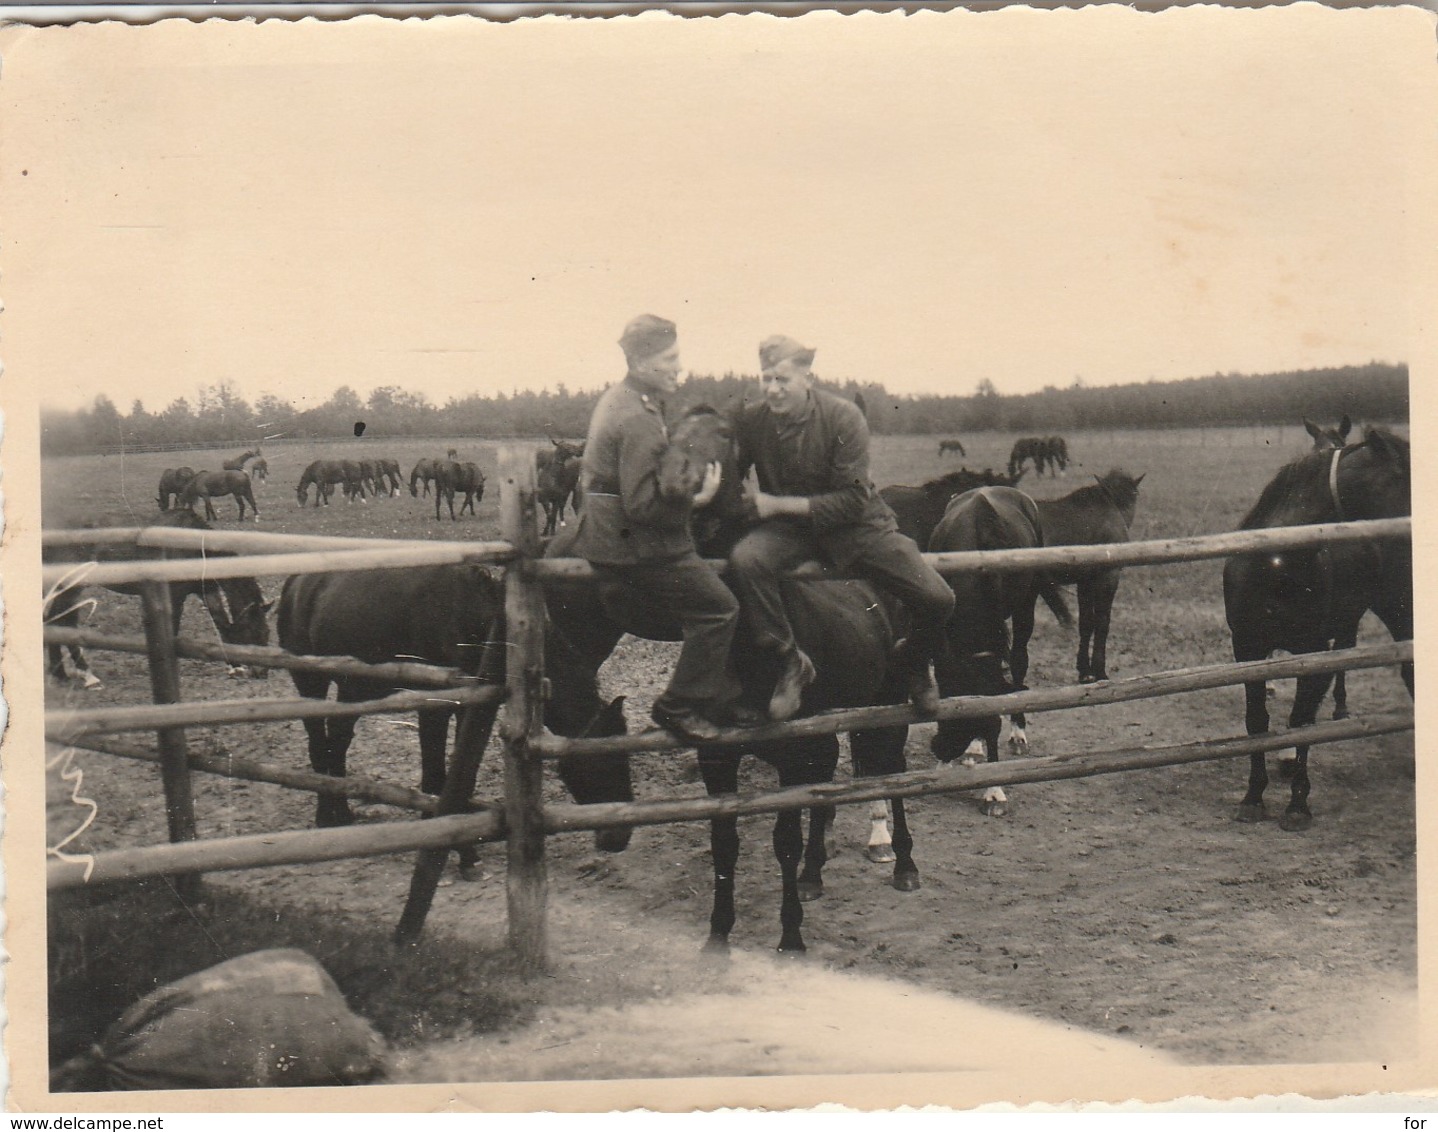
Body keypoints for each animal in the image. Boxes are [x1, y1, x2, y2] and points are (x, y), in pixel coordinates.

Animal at [46, 509, 273, 687]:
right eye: (252, 632)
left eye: (266, 632)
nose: (261, 673)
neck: (192, 547)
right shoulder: (176, 596)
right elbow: (173, 628)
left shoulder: (206, 592)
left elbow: (222, 624)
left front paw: (234, 667)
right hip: (70, 586)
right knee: (60, 621)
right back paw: (86, 676)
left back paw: (61, 674)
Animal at [276, 566, 635, 874]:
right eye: (605, 761)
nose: (621, 838)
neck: (481, 620)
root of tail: (296, 582)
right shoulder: (435, 706)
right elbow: (437, 776)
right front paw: (454, 849)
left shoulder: (469, 708)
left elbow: (459, 777)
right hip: (310, 681)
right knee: (319, 744)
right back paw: (327, 815)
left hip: (354, 687)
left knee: (337, 741)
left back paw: (342, 810)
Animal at [1219, 428, 1409, 834]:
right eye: (1405, 478)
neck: (1276, 564)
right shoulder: (1248, 648)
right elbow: (1257, 721)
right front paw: (1253, 798)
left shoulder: (1313, 650)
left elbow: (1302, 721)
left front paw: (1297, 805)